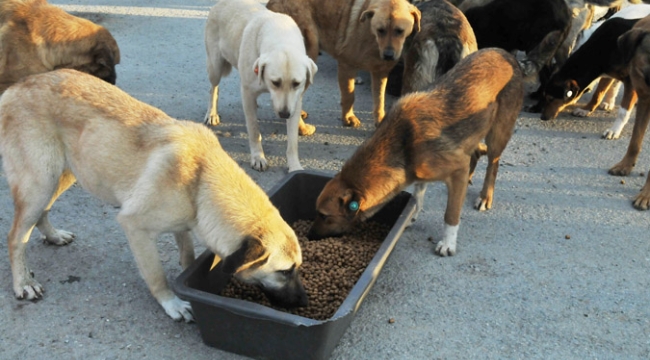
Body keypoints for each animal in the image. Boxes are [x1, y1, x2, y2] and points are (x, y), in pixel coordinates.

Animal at [0, 69, 308, 322]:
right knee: (16, 237)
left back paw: (53, 236)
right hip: (40, 183)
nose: (304, 302)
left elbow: (187, 257)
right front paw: (172, 303)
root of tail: (16, 87)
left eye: (298, 268)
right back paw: (23, 282)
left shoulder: (182, 226)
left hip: (61, 177)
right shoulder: (135, 228)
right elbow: (157, 276)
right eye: (284, 271)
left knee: (42, 214)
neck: (201, 180)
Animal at [201, 0, 316, 173]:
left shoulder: (296, 99)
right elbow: (254, 130)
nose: (284, 114)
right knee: (213, 88)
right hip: (215, 67)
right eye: (275, 82)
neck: (280, 36)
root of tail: (219, 3)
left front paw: (294, 165)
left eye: (296, 84)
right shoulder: (247, 93)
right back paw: (212, 113)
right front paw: (258, 157)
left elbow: (292, 141)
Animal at [264, 0, 420, 128]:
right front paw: (348, 118)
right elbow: (349, 96)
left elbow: (380, 100)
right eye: (380, 30)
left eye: (399, 31)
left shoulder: (380, 73)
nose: (388, 56)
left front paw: (381, 121)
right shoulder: (347, 66)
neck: (372, 37)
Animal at [306, 47, 524, 256]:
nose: (308, 236)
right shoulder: (424, 172)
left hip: (497, 133)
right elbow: (418, 195)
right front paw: (412, 214)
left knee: (493, 164)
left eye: (324, 215)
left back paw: (485, 196)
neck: (402, 143)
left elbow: (451, 214)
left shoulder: (456, 168)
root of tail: (507, 55)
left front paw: (448, 242)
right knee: (477, 154)